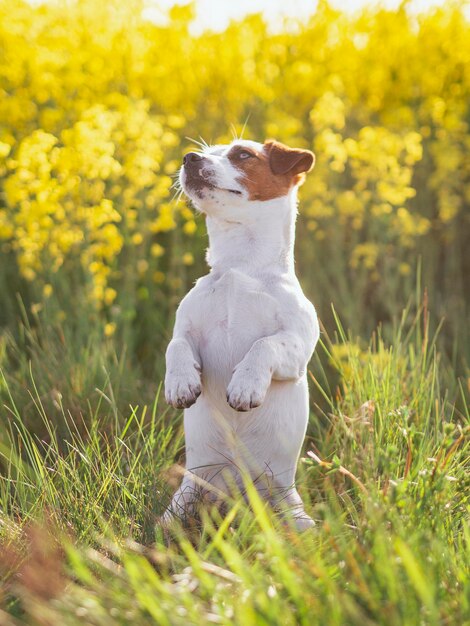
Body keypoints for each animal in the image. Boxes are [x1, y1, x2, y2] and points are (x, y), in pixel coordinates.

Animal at [162, 138, 320, 528]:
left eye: (243, 154)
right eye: (206, 150)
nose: (189, 158)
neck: (240, 267)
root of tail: (234, 502)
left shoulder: (296, 348)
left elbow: (264, 345)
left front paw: (246, 385)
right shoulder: (186, 329)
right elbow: (176, 347)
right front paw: (180, 382)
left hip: (293, 510)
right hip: (184, 500)